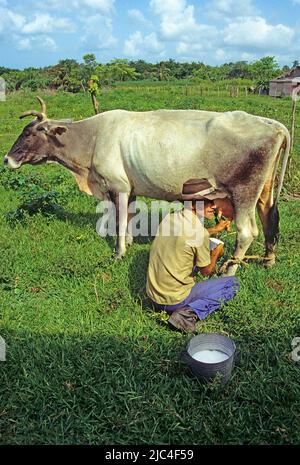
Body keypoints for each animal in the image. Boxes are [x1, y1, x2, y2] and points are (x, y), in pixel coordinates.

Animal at [4, 95, 290, 274]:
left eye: (29, 132)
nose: (7, 159)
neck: (93, 138)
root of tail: (272, 124)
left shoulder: (117, 187)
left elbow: (119, 222)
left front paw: (119, 253)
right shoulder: (129, 189)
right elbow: (129, 217)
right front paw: (129, 243)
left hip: (243, 194)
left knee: (247, 232)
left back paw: (230, 269)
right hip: (263, 193)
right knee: (269, 218)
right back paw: (268, 261)